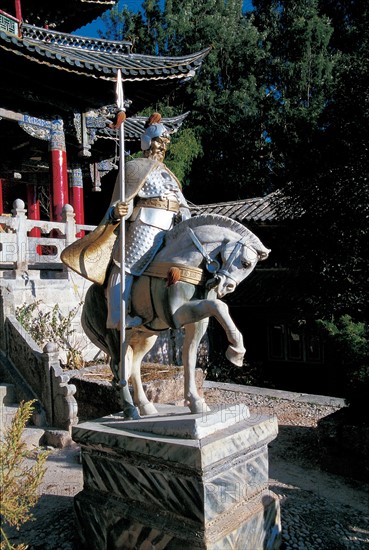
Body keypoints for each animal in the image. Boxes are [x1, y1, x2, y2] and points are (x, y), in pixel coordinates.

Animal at [82, 215, 268, 418]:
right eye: (246, 263)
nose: (227, 287)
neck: (186, 260)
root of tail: (86, 303)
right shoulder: (176, 313)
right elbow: (220, 306)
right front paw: (236, 351)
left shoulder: (197, 321)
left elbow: (189, 357)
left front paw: (196, 402)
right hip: (115, 336)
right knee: (119, 367)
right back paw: (130, 410)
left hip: (145, 337)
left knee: (134, 367)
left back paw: (146, 407)